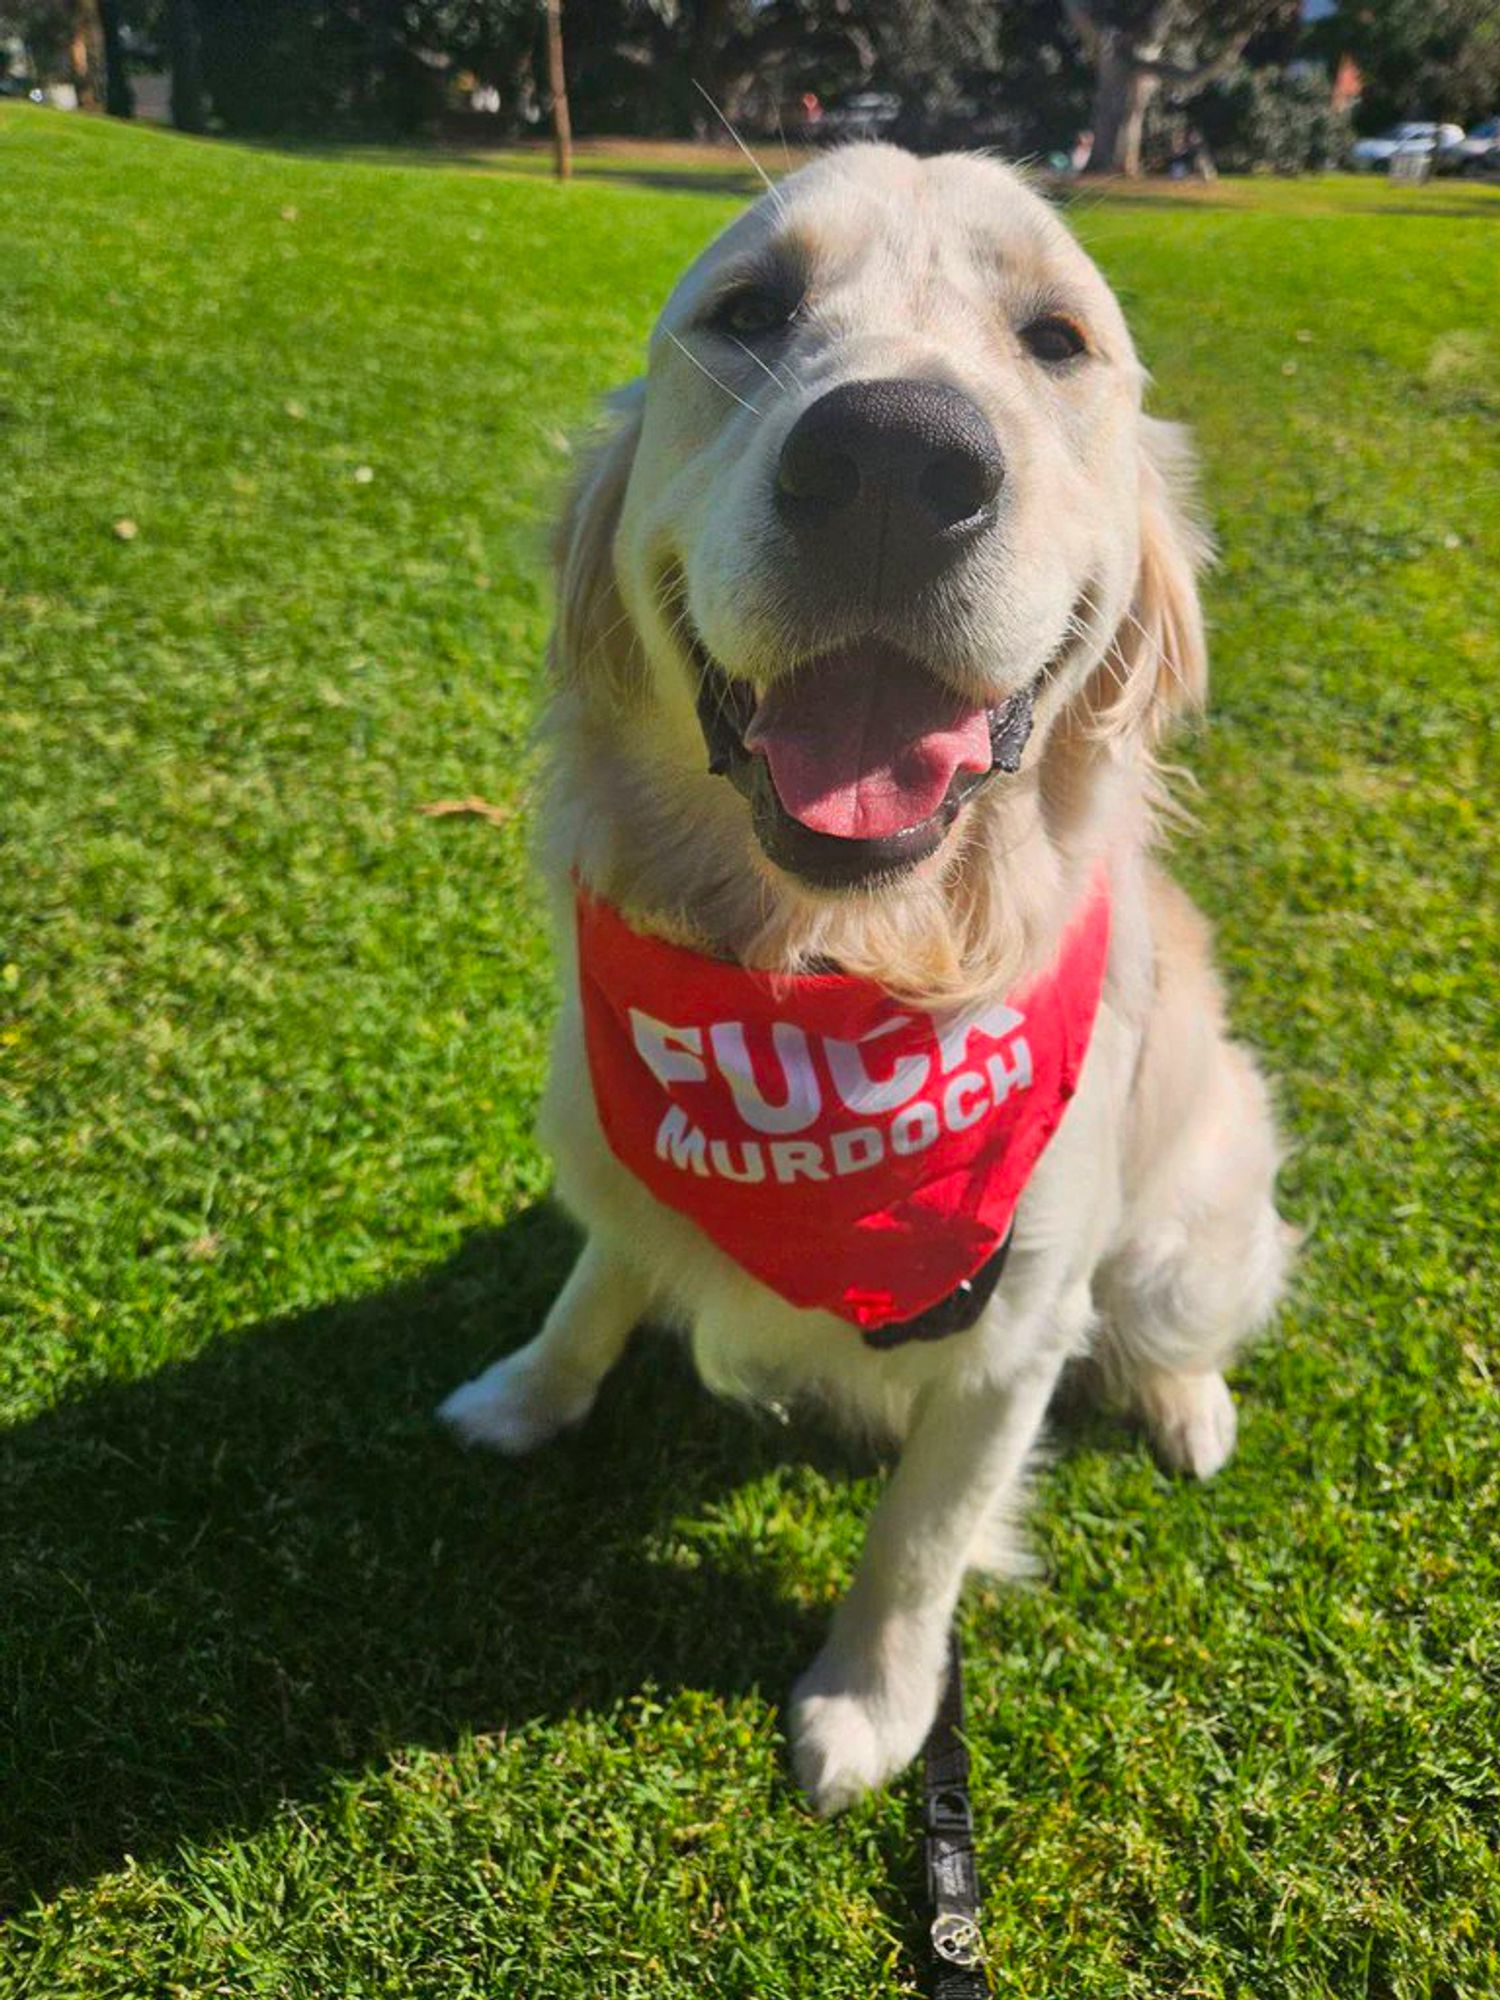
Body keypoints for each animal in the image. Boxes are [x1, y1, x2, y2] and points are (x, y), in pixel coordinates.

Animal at [438, 145, 1296, 1816]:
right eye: (749, 310)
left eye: (1056, 340)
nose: (898, 460)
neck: (834, 979)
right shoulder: (624, 1156)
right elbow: (597, 1282)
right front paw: (522, 1396)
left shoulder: (1013, 1327)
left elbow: (920, 1538)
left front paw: (871, 1709)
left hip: (1189, 1220)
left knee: (1191, 1317)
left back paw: (1189, 1406)